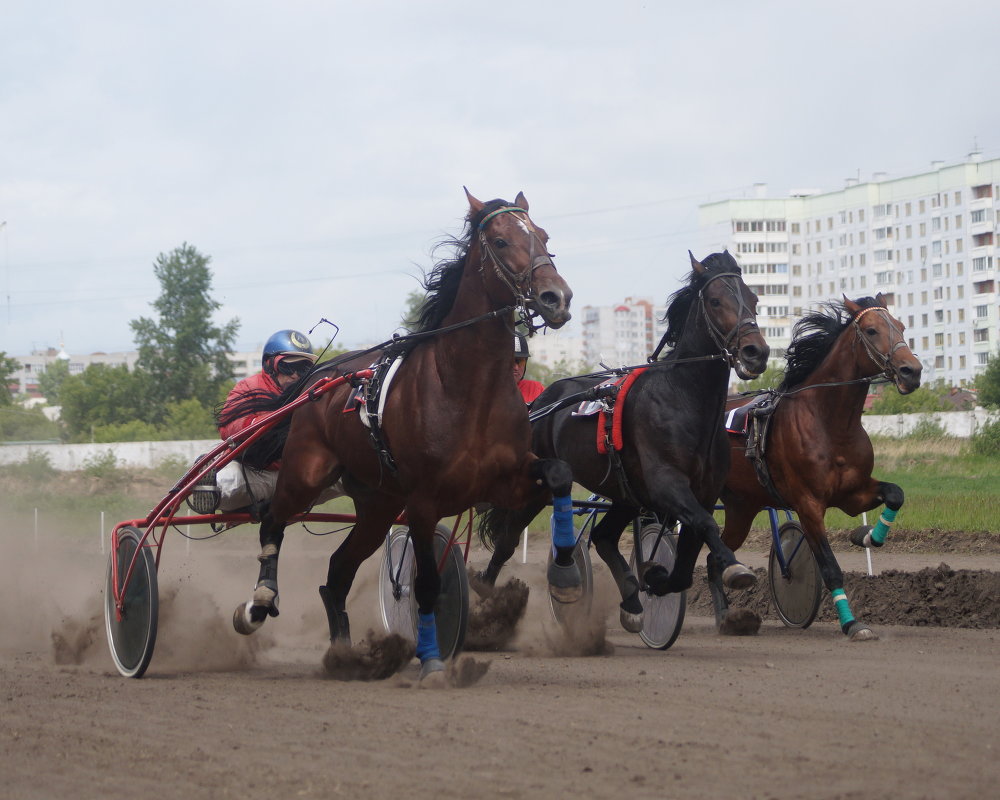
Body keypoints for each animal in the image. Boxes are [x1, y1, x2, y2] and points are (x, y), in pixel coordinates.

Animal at [222, 189, 576, 680]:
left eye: (543, 236)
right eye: (501, 241)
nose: (556, 296)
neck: (469, 388)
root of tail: (321, 377)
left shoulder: (506, 478)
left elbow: (558, 476)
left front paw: (565, 578)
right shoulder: (424, 500)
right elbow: (425, 583)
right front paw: (431, 660)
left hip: (378, 503)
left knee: (337, 571)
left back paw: (344, 654)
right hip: (307, 474)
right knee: (274, 520)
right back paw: (258, 603)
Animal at [474, 250, 764, 632]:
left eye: (754, 300)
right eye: (716, 301)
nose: (756, 352)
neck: (684, 400)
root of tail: (540, 403)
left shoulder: (701, 492)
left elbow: (686, 563)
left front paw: (655, 578)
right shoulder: (666, 484)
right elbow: (705, 523)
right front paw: (735, 569)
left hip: (625, 493)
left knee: (603, 536)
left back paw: (630, 600)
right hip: (537, 484)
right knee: (508, 539)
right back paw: (486, 592)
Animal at [712, 292, 920, 636]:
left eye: (901, 326)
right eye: (872, 330)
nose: (911, 371)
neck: (829, 423)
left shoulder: (853, 492)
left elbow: (895, 494)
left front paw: (865, 536)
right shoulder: (808, 504)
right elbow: (829, 567)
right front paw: (852, 624)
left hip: (741, 506)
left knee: (715, 555)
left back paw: (726, 616)